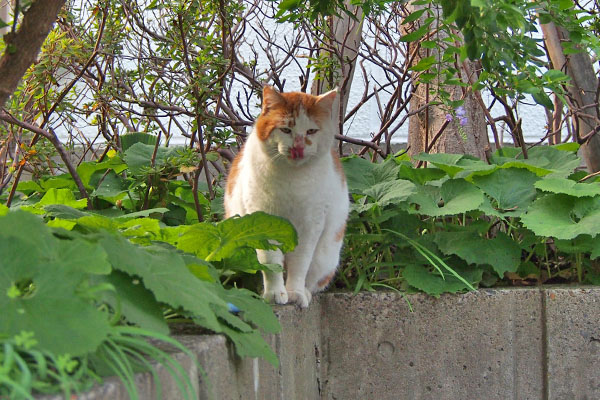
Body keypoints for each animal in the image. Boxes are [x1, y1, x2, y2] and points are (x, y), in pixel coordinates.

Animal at [224, 86, 346, 308]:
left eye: (311, 131)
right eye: (286, 130)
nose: (298, 147)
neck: (293, 179)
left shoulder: (310, 226)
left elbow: (300, 264)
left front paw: (295, 293)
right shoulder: (264, 220)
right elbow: (271, 262)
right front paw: (275, 294)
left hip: (325, 257)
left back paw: (304, 292)